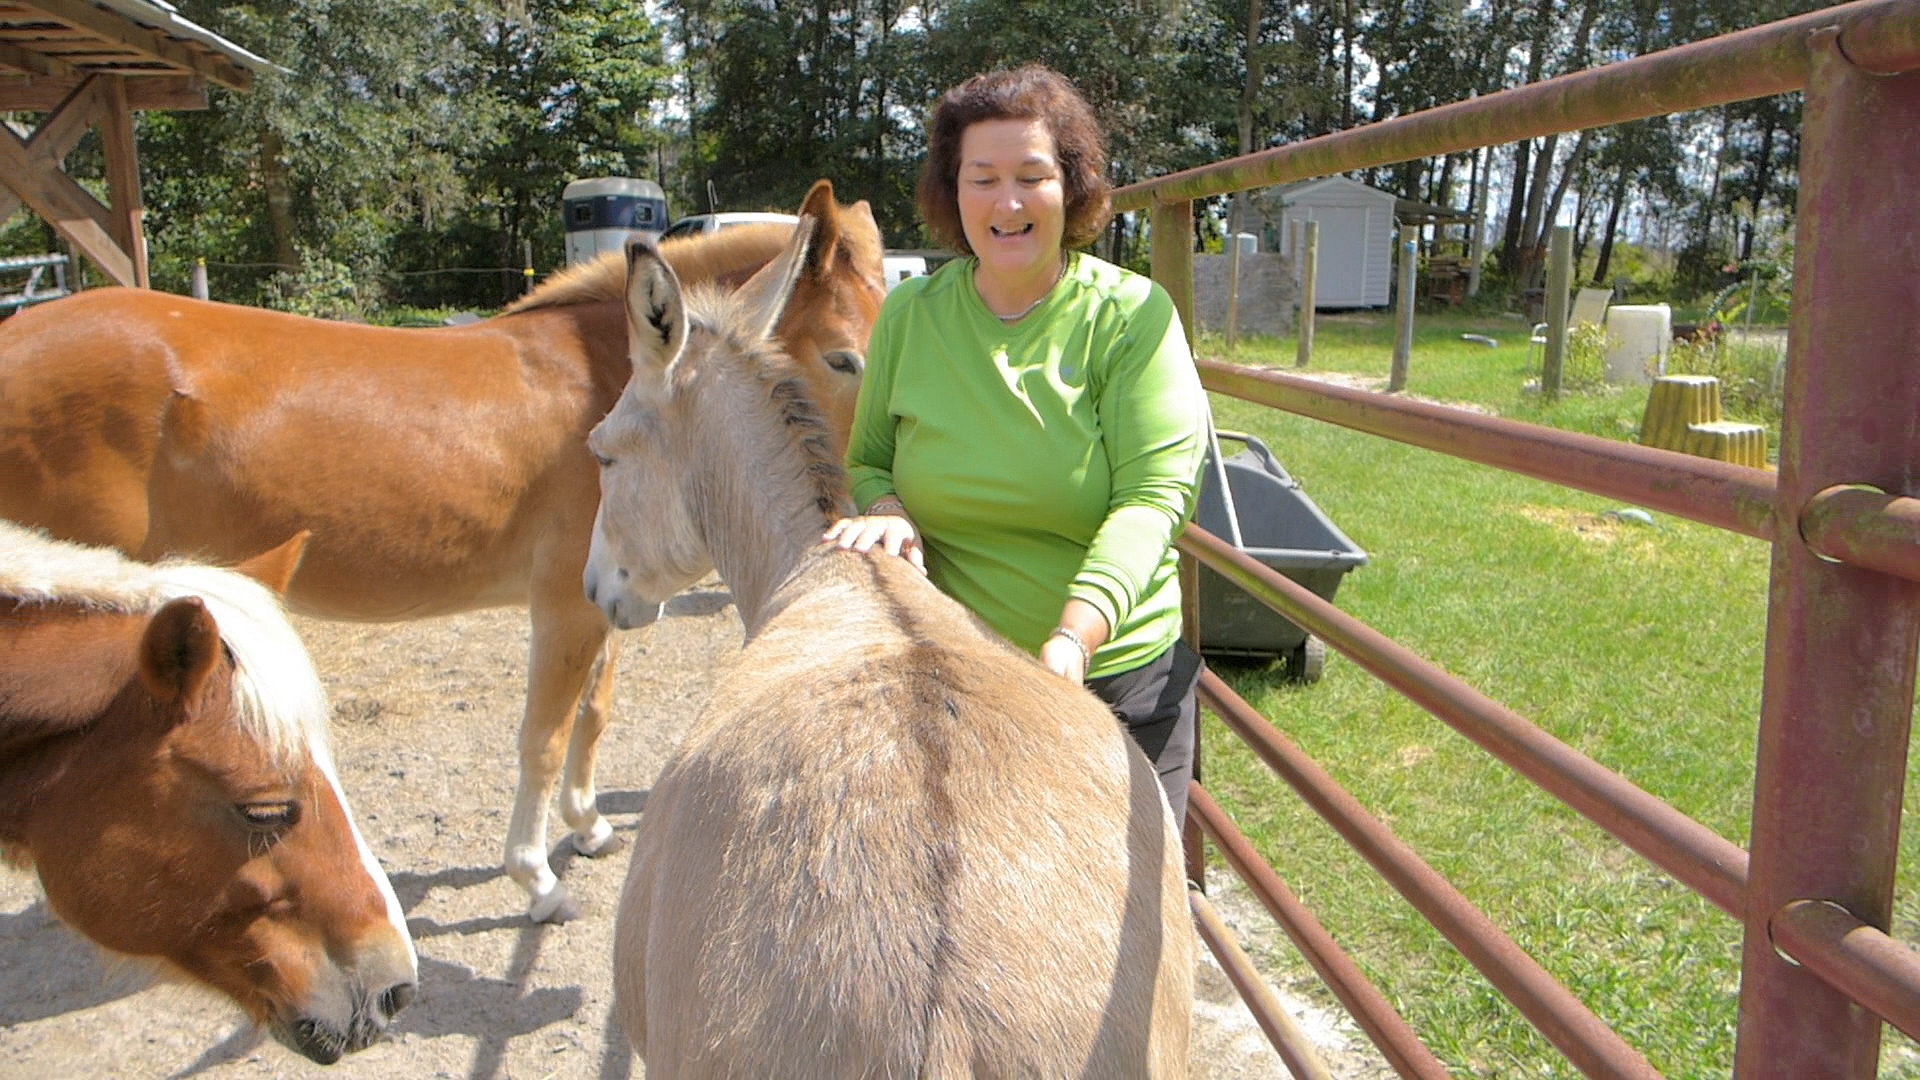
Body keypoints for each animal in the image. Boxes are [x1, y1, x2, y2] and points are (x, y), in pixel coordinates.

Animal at [0, 178, 883, 914]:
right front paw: (536, 877)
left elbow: (592, 714)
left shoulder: (611, 594)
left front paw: (588, 826)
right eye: (846, 357)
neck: (605, 380)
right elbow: (543, 735)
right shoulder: (566, 604)